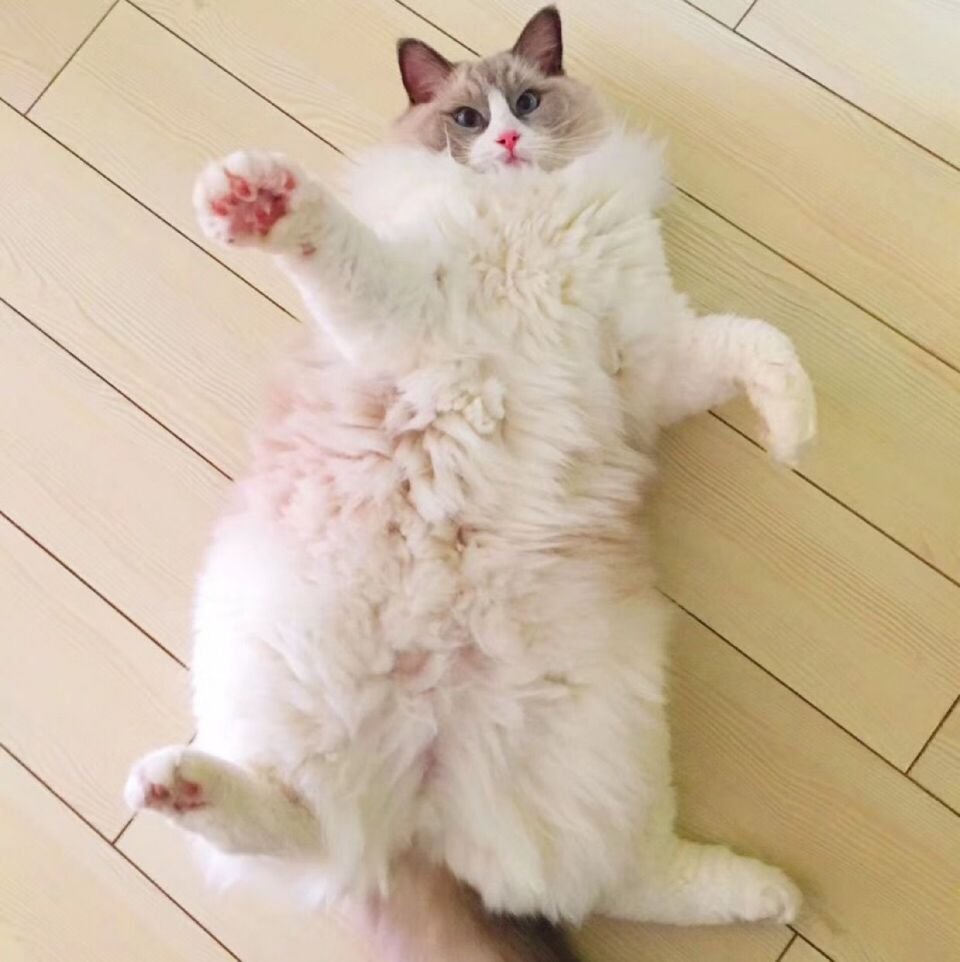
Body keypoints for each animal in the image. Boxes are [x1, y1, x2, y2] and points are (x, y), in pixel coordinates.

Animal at [125, 7, 814, 961]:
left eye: (526, 102)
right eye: (466, 119)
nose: (511, 140)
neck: (526, 216)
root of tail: (426, 807)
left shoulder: (652, 356)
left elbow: (763, 347)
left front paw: (792, 433)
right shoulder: (407, 308)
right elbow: (331, 243)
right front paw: (259, 202)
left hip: (609, 741)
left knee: (625, 876)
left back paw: (772, 893)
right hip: (291, 694)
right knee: (315, 833)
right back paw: (174, 784)